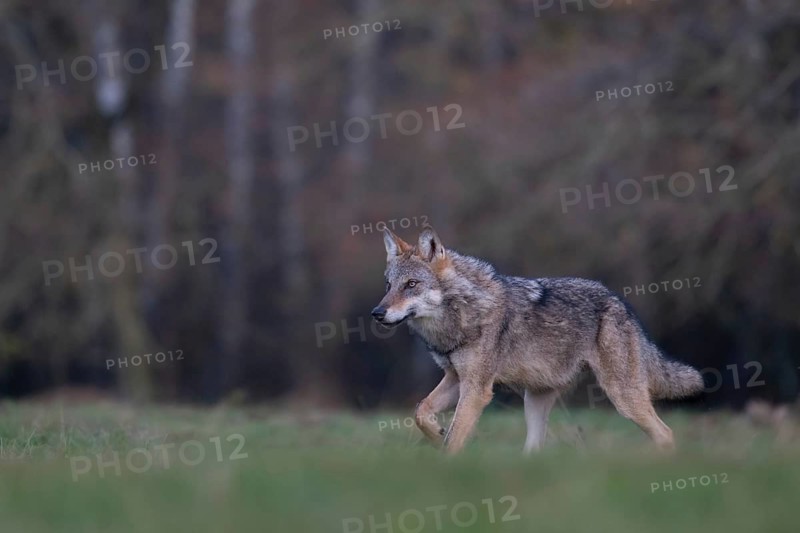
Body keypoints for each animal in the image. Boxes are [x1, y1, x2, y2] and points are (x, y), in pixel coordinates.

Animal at [371, 225, 704, 454]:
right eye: (388, 286)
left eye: (411, 284)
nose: (377, 312)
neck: (462, 312)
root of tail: (621, 304)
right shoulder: (455, 378)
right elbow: (420, 411)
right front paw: (437, 433)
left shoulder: (477, 389)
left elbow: (454, 439)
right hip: (534, 402)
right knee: (535, 451)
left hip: (623, 397)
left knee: (665, 434)